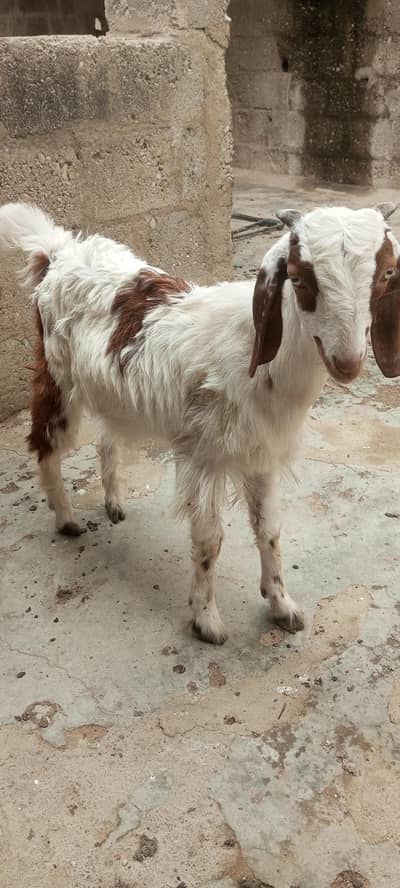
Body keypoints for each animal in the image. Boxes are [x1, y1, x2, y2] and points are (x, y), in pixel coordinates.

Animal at [0, 201, 399, 644]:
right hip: (57, 375)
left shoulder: (260, 453)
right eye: (297, 278)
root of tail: (57, 251)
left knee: (107, 436)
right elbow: (210, 541)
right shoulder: (203, 455)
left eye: (385, 274)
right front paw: (206, 620)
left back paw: (114, 501)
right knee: (44, 442)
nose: (347, 363)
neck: (257, 359)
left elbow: (269, 530)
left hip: (111, 390)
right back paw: (66, 518)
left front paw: (281, 605)